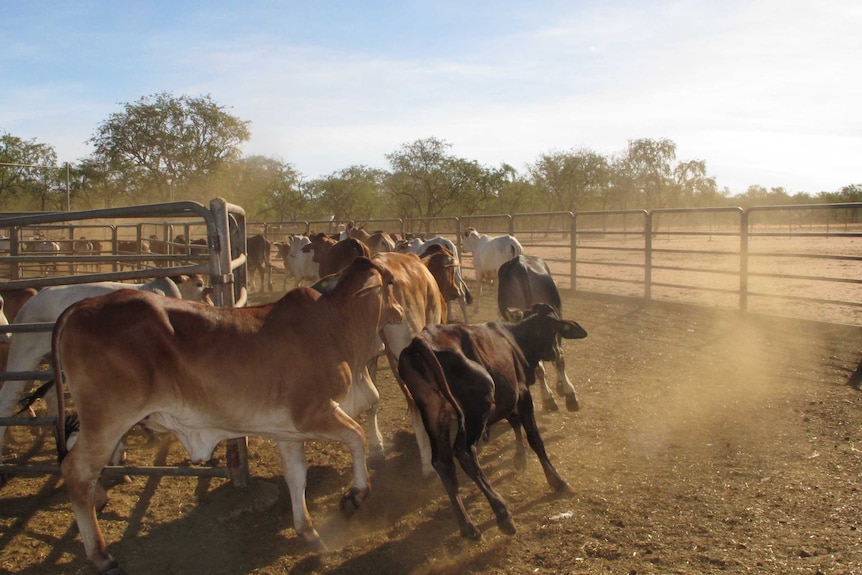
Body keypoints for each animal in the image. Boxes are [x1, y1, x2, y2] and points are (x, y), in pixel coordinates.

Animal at [54, 258, 404, 575]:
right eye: (389, 282)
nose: (400, 311)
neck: (335, 323)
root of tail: (81, 307)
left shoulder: (288, 434)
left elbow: (297, 477)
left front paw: (307, 531)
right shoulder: (316, 414)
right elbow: (357, 438)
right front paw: (354, 496)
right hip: (108, 421)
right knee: (77, 472)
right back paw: (102, 555)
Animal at [400, 306, 592, 540]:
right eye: (554, 331)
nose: (555, 353)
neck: (515, 339)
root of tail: (420, 342)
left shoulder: (506, 397)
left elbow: (515, 423)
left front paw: (520, 458)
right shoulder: (521, 393)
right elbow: (535, 438)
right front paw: (556, 480)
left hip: (435, 417)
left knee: (442, 462)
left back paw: (468, 526)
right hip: (478, 404)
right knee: (465, 452)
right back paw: (502, 512)